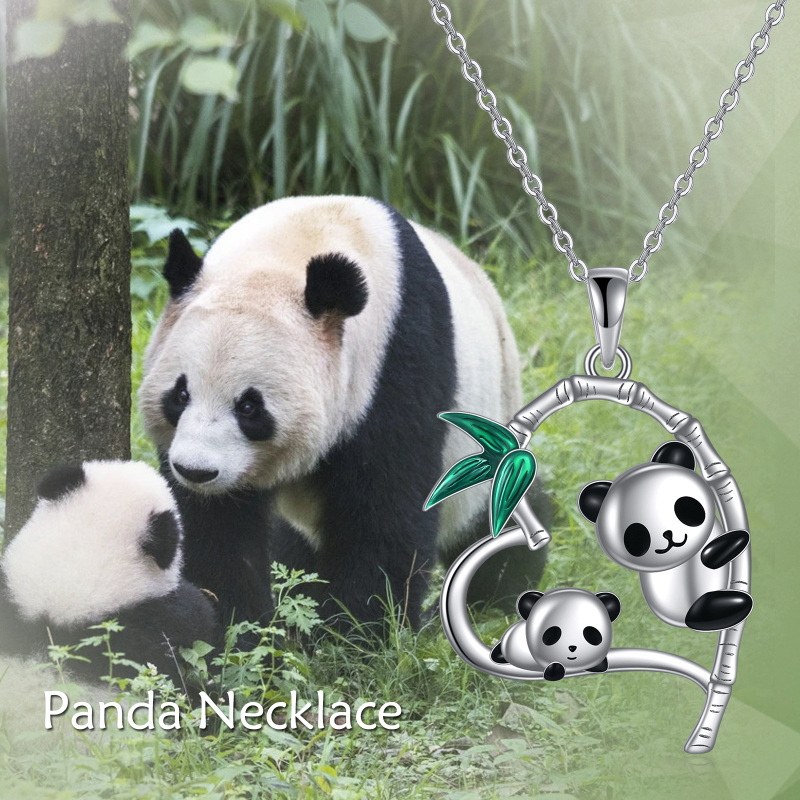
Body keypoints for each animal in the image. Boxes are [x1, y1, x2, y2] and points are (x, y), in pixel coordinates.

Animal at [138, 195, 548, 631]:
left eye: (249, 407)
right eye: (180, 394)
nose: (196, 471)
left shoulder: (395, 363)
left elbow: (384, 508)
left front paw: (359, 631)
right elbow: (215, 527)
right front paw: (237, 625)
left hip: (491, 421)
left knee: (496, 518)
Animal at [578, 441, 752, 632]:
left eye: (685, 508)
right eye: (637, 534)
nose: (668, 535)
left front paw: (736, 540)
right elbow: (709, 555)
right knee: (706, 610)